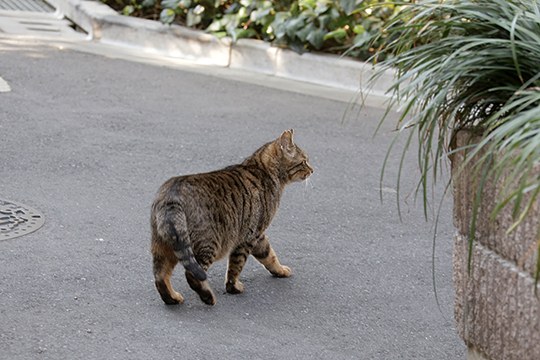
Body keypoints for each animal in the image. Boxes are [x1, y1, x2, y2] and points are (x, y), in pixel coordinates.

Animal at [151, 128, 312, 306]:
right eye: (304, 161)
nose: (312, 170)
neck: (263, 170)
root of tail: (172, 196)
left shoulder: (258, 236)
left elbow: (269, 255)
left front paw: (280, 270)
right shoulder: (250, 236)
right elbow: (237, 266)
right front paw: (233, 287)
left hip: (164, 246)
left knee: (160, 276)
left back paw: (172, 298)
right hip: (207, 244)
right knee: (192, 274)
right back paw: (208, 297)